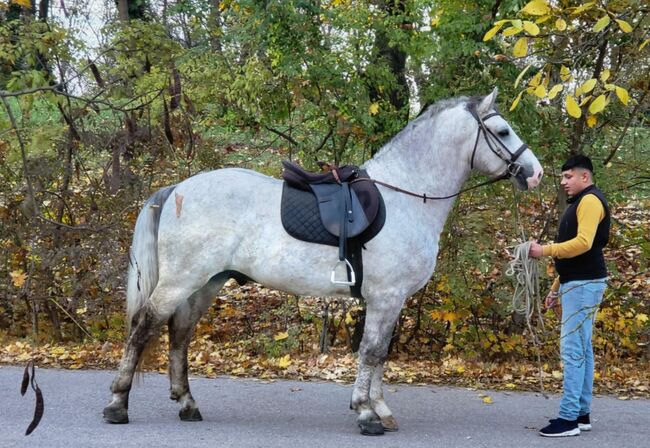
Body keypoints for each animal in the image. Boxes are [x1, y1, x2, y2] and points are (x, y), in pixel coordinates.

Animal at [102, 89, 540, 436]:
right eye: (503, 132)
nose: (534, 174)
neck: (405, 196)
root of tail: (177, 188)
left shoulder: (390, 302)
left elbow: (379, 354)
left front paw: (380, 409)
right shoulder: (385, 298)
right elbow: (372, 353)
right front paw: (366, 414)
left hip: (206, 282)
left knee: (180, 333)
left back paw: (187, 404)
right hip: (181, 279)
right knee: (144, 326)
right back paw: (117, 405)